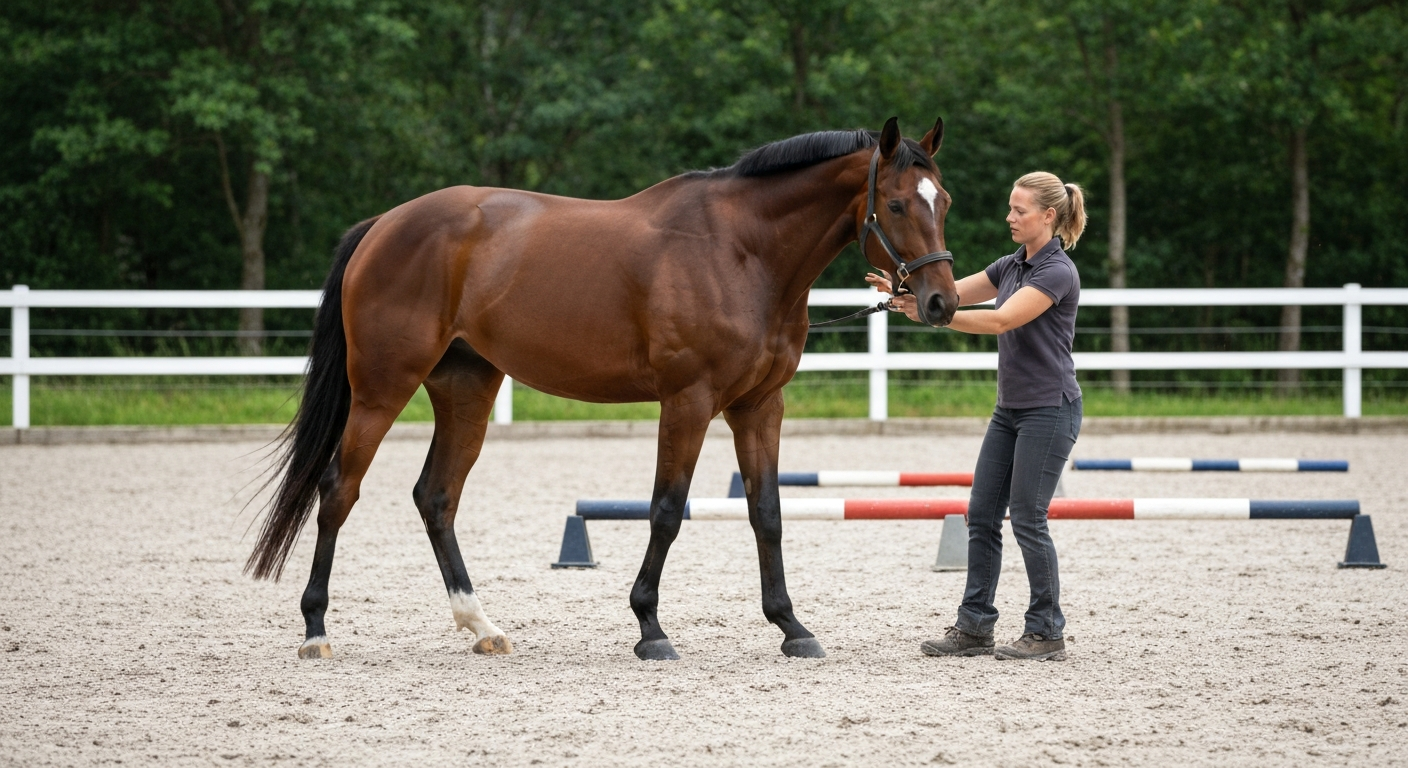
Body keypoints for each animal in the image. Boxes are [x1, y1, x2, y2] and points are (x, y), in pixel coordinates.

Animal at [247, 116, 958, 661]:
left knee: (436, 497)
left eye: (942, 201)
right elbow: (667, 510)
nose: (941, 302)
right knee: (339, 491)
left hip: (466, 389)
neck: (741, 252)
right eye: (897, 204)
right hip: (381, 388)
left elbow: (768, 514)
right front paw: (650, 628)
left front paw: (792, 627)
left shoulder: (760, 407)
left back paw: (482, 627)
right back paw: (316, 631)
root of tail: (383, 225)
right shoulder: (688, 401)